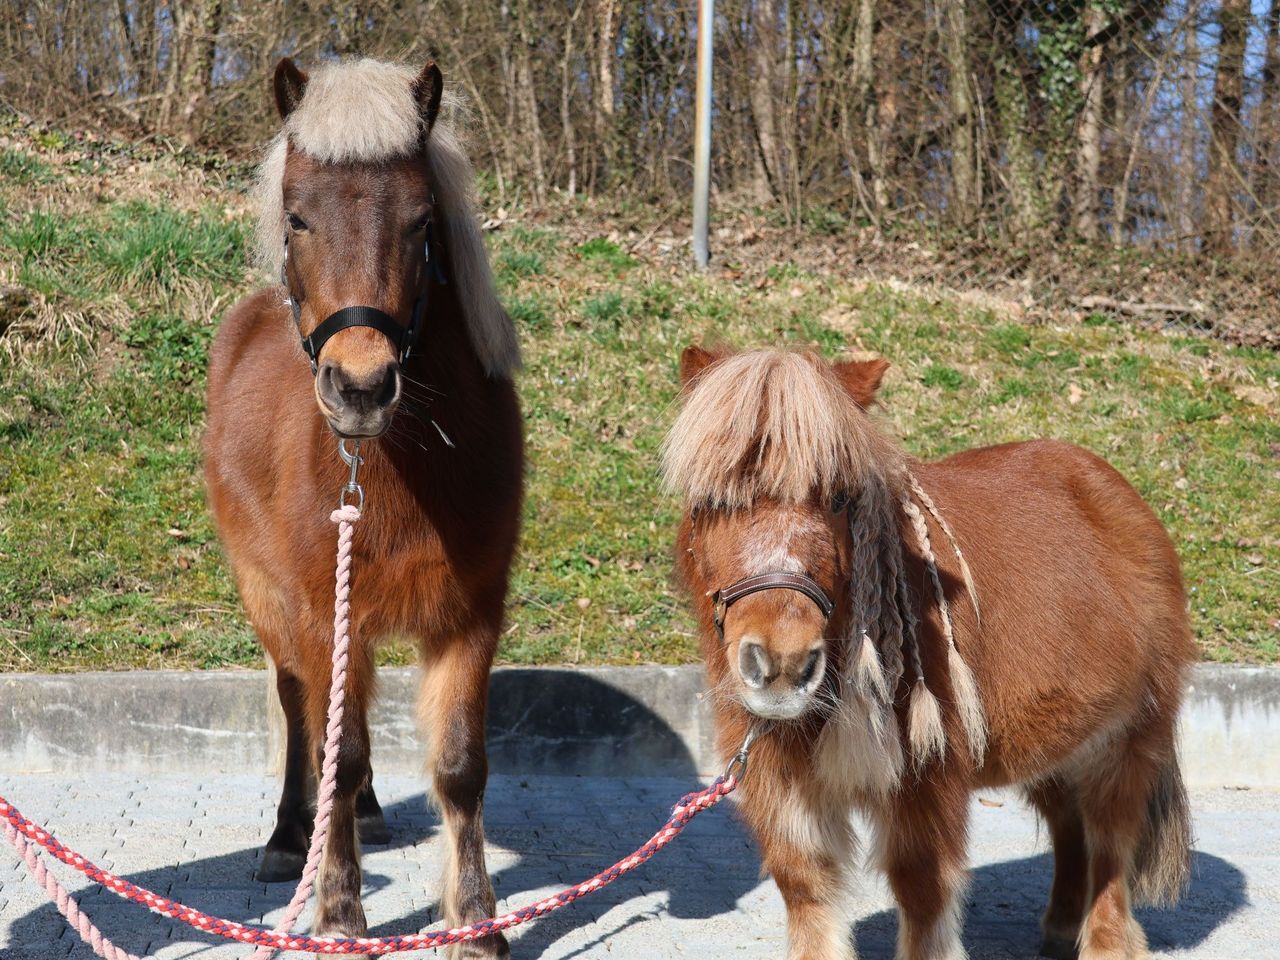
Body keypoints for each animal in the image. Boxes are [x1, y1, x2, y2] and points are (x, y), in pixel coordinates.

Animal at [204, 57, 522, 952]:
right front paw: (341, 914)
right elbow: (332, 754)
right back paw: (288, 839)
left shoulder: (471, 615)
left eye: (421, 222)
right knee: (297, 705)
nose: (360, 386)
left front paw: (476, 921)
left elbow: (460, 767)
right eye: (298, 216)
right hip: (269, 597)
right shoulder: (320, 613)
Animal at [663, 346, 1194, 960]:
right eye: (711, 501)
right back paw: (1060, 932)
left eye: (840, 498)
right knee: (1070, 827)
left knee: (1111, 845)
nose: (782, 665)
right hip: (1057, 742)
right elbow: (805, 883)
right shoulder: (781, 778)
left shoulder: (927, 780)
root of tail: (1122, 497)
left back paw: (1103, 941)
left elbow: (921, 887)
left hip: (1127, 738)